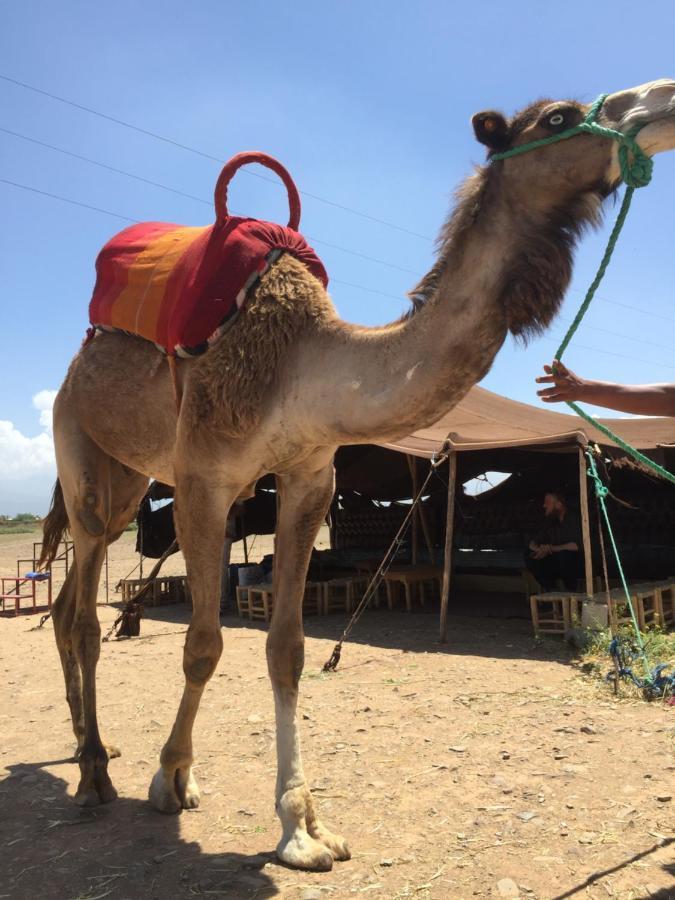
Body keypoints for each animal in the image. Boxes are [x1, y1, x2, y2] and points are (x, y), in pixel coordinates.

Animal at [42, 81, 675, 868]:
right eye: (558, 117)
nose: (662, 98)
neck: (306, 369)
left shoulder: (309, 479)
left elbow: (286, 649)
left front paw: (301, 828)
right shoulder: (203, 481)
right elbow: (204, 644)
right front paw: (172, 780)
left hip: (130, 479)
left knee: (68, 602)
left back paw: (87, 750)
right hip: (80, 450)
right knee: (83, 610)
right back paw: (94, 773)